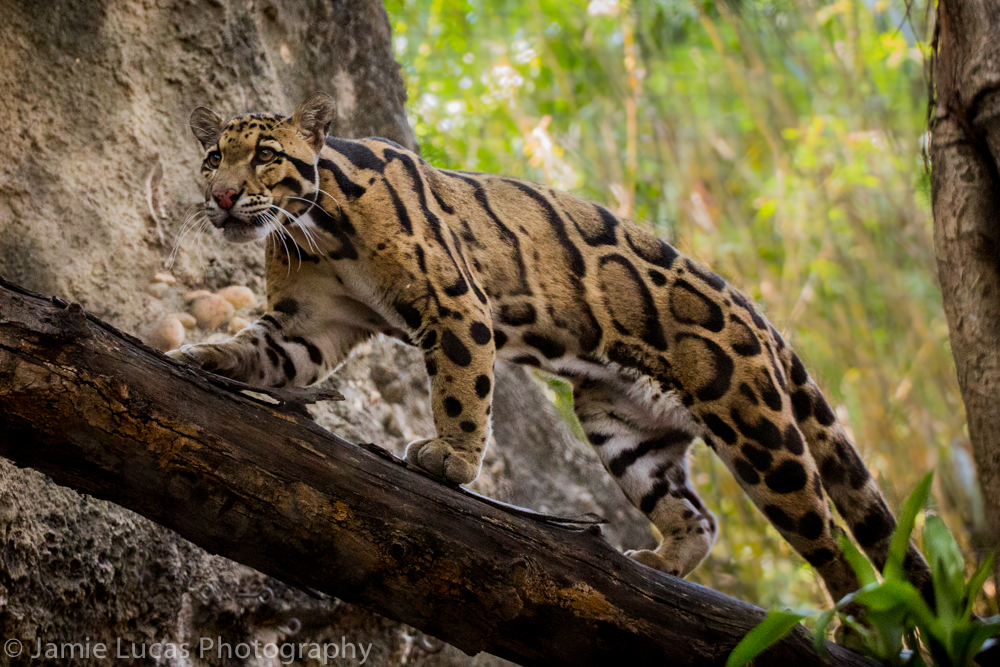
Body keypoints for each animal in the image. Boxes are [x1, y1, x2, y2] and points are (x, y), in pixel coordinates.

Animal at [170, 93, 932, 605]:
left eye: (265, 156)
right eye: (212, 157)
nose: (223, 196)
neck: (316, 229)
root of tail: (760, 315)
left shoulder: (455, 303)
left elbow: (461, 389)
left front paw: (450, 459)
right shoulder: (308, 323)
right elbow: (258, 349)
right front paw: (207, 357)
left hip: (761, 436)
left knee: (834, 547)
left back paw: (855, 623)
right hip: (622, 426)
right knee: (700, 515)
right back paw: (662, 563)